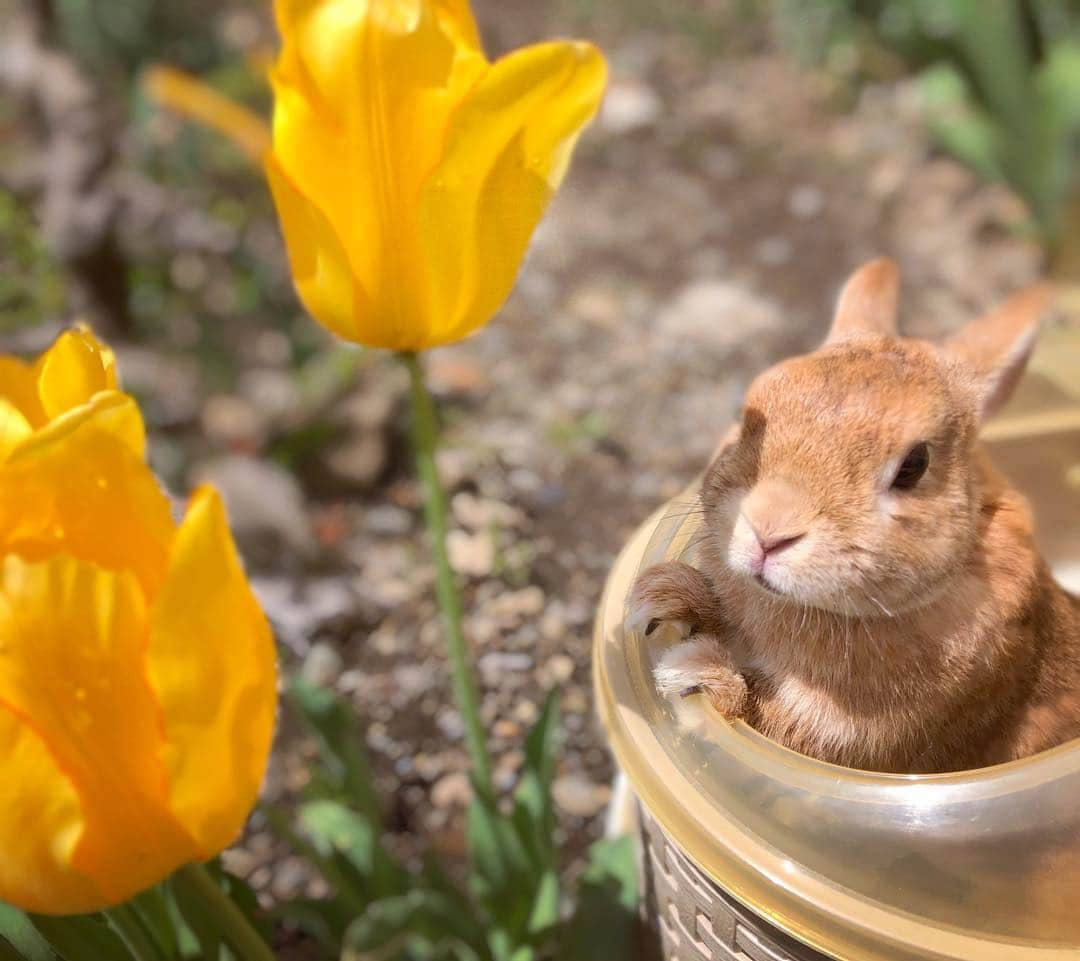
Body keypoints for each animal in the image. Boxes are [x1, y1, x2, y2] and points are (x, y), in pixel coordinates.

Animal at [630, 260, 1080, 773]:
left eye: (914, 465)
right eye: (749, 417)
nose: (767, 533)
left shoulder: (858, 743)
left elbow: (765, 717)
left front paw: (696, 673)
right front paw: (667, 595)